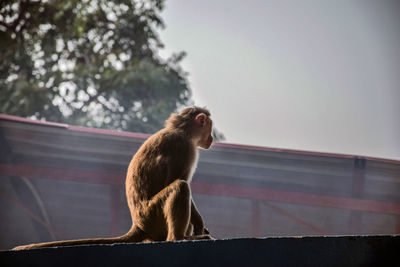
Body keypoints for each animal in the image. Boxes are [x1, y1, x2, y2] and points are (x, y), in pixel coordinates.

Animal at [12, 107, 212, 251]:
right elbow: (174, 180)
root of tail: (139, 225)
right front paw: (198, 222)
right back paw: (178, 238)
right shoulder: (184, 148)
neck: (181, 130)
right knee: (180, 187)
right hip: (153, 214)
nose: (211, 137)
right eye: (209, 127)